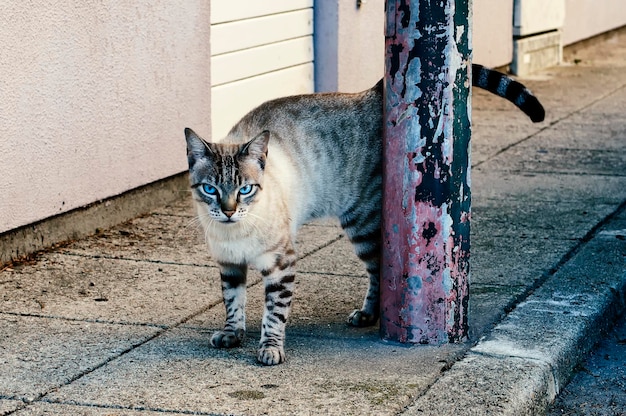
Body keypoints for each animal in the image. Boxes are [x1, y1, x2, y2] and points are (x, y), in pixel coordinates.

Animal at [184, 63, 540, 366]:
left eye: (245, 189)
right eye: (210, 189)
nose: (228, 211)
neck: (234, 232)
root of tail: (370, 93)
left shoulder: (281, 263)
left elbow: (274, 313)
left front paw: (270, 349)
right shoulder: (229, 264)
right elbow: (233, 302)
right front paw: (232, 334)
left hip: (362, 224)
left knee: (378, 271)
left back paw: (369, 314)